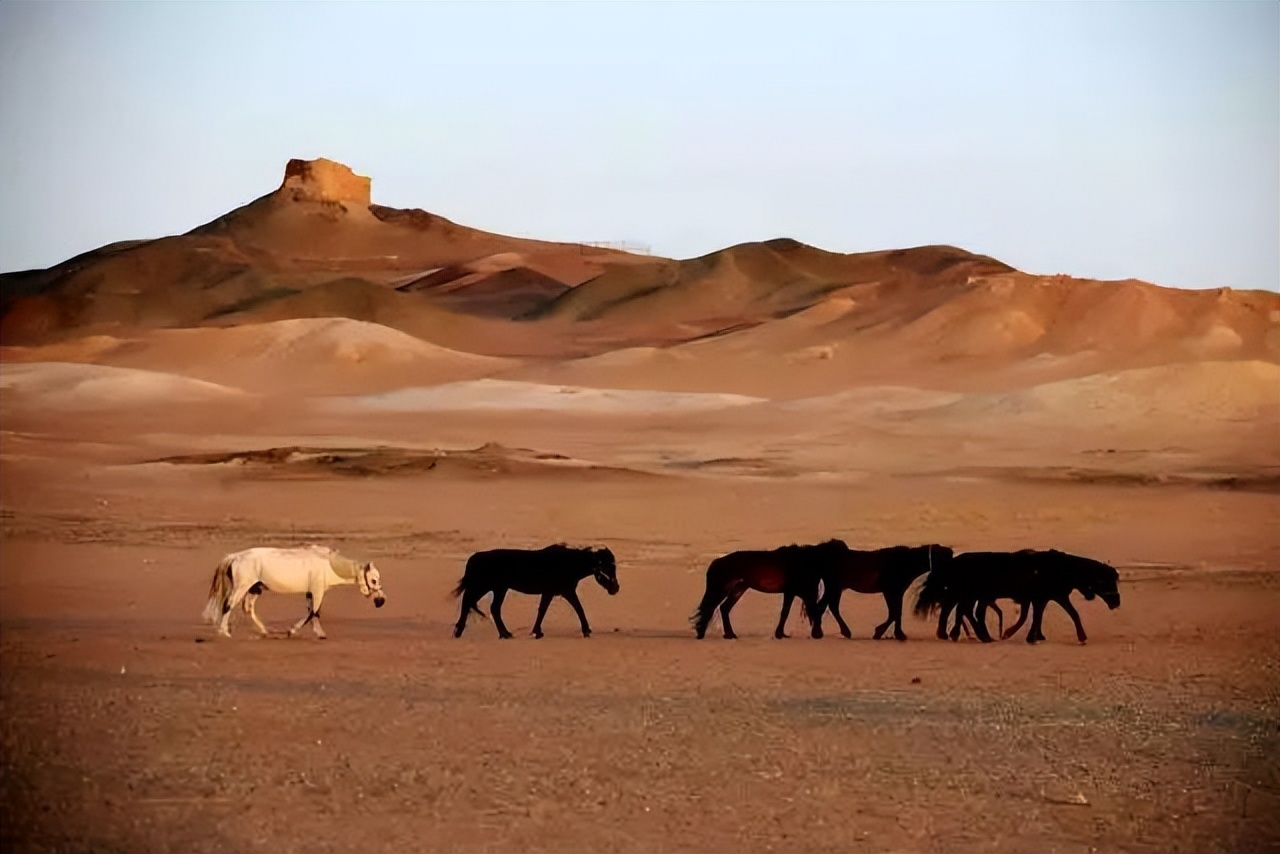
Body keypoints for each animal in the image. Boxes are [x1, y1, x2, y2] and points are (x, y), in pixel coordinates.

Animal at [199, 545, 384, 637]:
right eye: (374, 580)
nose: (381, 601)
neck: (328, 565)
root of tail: (235, 556)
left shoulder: (310, 593)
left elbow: (313, 612)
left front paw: (319, 633)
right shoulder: (317, 591)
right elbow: (313, 612)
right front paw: (292, 631)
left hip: (255, 588)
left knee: (248, 608)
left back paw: (265, 631)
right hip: (242, 587)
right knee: (227, 605)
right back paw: (224, 632)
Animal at [453, 545, 616, 637]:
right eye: (605, 565)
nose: (615, 588)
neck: (568, 563)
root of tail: (474, 557)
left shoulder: (553, 592)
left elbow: (543, 610)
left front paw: (537, 631)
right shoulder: (563, 591)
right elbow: (578, 608)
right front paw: (586, 630)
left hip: (494, 588)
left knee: (477, 605)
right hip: (491, 587)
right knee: (476, 604)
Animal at [691, 537, 849, 637]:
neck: (804, 561)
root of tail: (716, 563)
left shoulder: (798, 593)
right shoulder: (792, 592)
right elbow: (785, 612)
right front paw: (780, 634)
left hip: (738, 589)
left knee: (723, 608)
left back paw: (729, 634)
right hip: (722, 590)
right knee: (710, 609)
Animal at [814, 547, 957, 640]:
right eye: (947, 558)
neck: (905, 562)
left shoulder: (897, 592)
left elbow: (896, 612)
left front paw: (890, 633)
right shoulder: (891, 591)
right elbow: (894, 613)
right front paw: (888, 633)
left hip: (836, 588)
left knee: (829, 606)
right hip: (833, 587)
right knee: (823, 606)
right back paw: (821, 632)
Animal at [911, 550, 1121, 645]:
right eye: (1107, 582)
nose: (1117, 602)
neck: (1063, 569)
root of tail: (954, 562)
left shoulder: (1042, 598)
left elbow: (1036, 616)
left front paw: (1035, 635)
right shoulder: (1051, 596)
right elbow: (1071, 614)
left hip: (972, 595)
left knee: (962, 610)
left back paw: (960, 634)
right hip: (973, 594)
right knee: (964, 610)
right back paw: (976, 636)